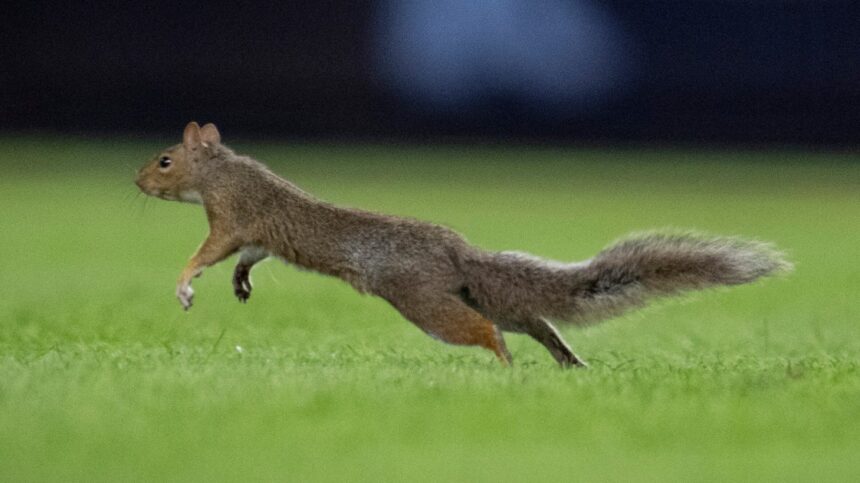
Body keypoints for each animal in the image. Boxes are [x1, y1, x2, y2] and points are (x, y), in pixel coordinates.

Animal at [135, 122, 791, 368]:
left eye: (165, 160)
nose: (136, 182)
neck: (221, 167)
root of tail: (457, 252)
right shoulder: (253, 232)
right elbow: (250, 256)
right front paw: (241, 283)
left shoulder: (230, 217)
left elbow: (208, 251)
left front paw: (186, 285)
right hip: (478, 293)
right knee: (533, 319)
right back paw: (568, 364)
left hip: (423, 300)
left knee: (488, 331)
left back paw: (505, 365)